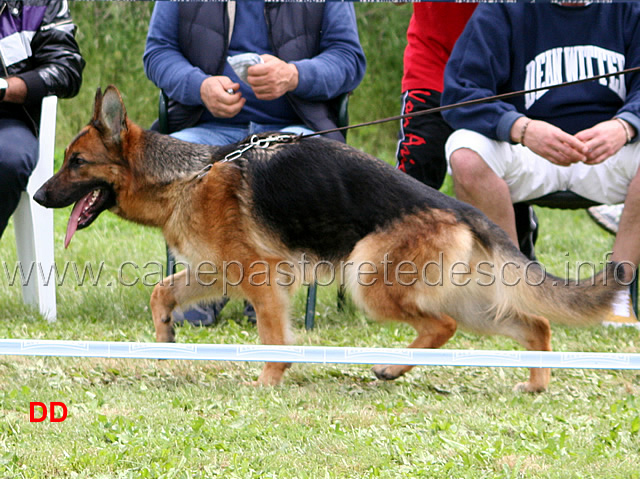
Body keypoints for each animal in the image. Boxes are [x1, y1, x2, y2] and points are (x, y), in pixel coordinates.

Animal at [35, 87, 624, 394]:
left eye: (76, 162)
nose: (37, 195)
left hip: (368, 279)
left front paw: (270, 380)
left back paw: (392, 366)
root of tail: (463, 209)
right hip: (472, 302)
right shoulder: (213, 271)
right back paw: (535, 384)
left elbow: (273, 336)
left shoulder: (262, 280)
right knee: (536, 324)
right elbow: (162, 292)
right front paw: (164, 338)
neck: (188, 177)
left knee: (442, 325)